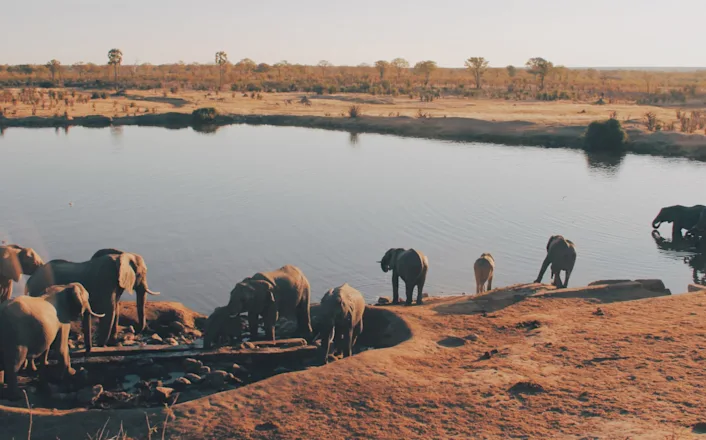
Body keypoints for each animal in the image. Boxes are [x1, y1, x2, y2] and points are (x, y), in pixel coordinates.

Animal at [25, 249, 160, 347]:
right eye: (142, 273)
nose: (135, 329)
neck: (122, 255)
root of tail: (30, 280)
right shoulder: (106, 279)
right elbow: (109, 311)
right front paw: (102, 346)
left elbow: (115, 309)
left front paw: (112, 344)